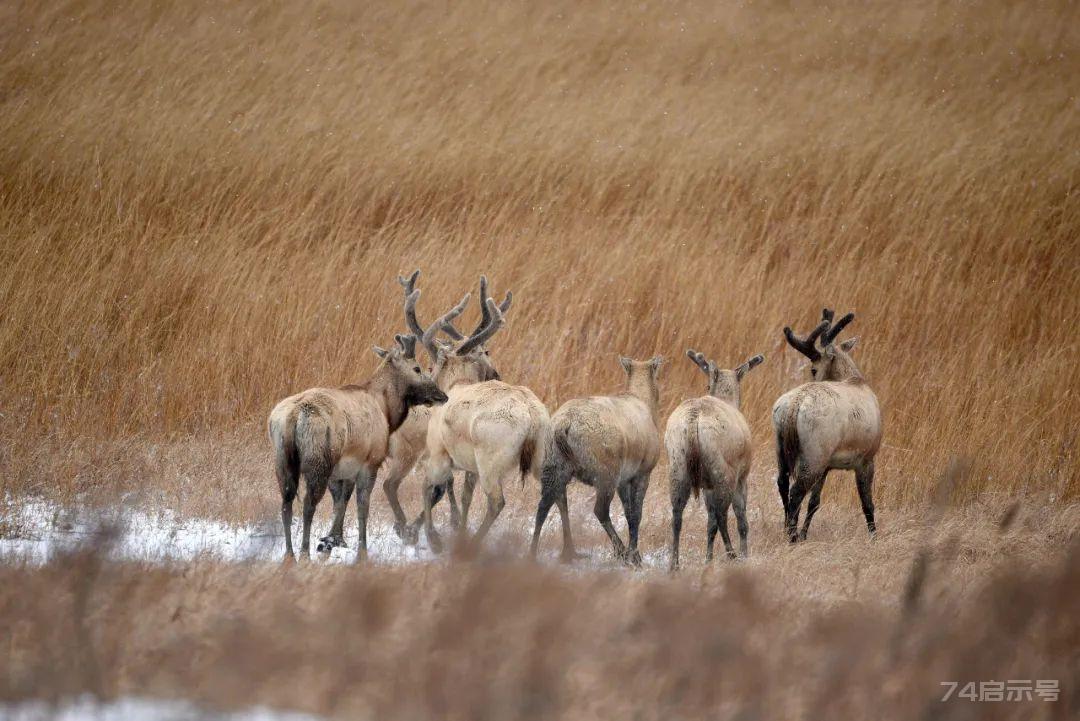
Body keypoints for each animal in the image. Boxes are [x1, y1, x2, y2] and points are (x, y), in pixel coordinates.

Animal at [268, 334, 447, 561]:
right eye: (417, 368)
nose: (442, 395)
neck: (387, 412)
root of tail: (293, 416)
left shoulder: (343, 471)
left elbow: (340, 503)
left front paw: (331, 542)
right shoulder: (370, 462)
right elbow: (362, 507)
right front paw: (361, 552)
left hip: (283, 461)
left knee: (286, 504)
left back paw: (289, 555)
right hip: (319, 461)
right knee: (308, 505)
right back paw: (304, 554)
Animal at [529, 358, 660, 565]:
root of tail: (562, 427)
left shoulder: (624, 479)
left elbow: (629, 512)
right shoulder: (642, 472)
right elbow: (636, 514)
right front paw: (635, 556)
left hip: (554, 466)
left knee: (546, 506)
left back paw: (544, 553)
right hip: (606, 473)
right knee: (600, 510)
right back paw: (620, 551)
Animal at [660, 349, 764, 569]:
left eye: (707, 384)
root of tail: (694, 421)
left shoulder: (707, 486)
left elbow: (709, 523)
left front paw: (708, 558)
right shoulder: (742, 476)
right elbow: (741, 520)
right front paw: (744, 554)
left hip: (677, 465)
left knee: (677, 516)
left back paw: (674, 563)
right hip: (723, 471)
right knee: (722, 516)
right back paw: (731, 553)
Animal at [773, 308, 881, 539]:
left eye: (813, 369)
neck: (853, 378)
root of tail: (794, 407)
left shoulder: (828, 465)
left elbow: (815, 502)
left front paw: (805, 534)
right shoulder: (866, 458)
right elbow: (867, 503)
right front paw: (874, 537)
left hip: (783, 450)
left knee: (782, 483)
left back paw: (788, 531)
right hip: (815, 454)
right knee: (796, 491)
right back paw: (792, 536)